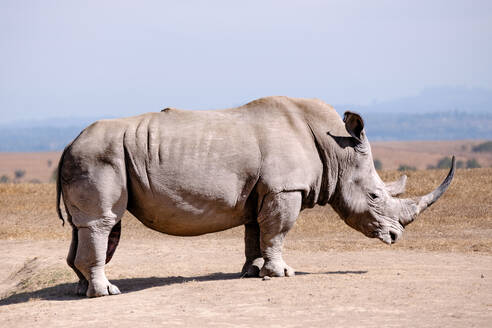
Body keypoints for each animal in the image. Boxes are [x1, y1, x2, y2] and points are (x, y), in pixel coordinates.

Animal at [54, 95, 454, 298]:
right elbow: (277, 231)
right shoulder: (284, 188)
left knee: (84, 227)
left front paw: (252, 272)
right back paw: (107, 292)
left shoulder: (262, 191)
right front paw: (281, 274)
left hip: (93, 155)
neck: (335, 148)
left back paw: (82, 288)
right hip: (99, 155)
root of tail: (67, 143)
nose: (396, 236)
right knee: (104, 222)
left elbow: (255, 233)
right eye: (373, 195)